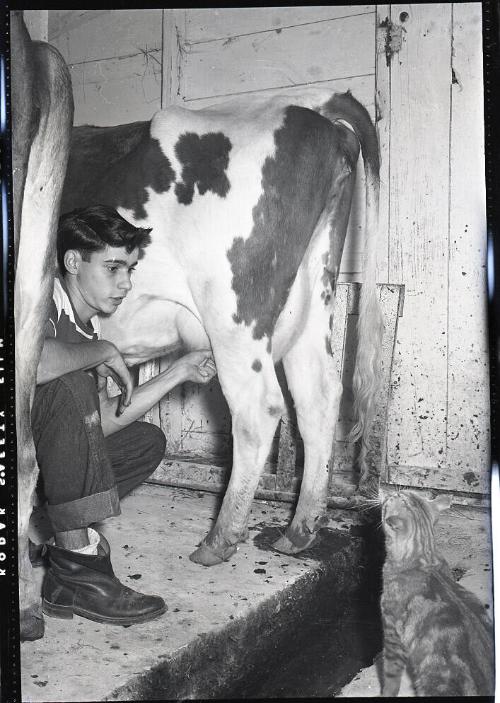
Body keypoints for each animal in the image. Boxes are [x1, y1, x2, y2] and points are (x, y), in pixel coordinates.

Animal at [60, 89, 384, 572]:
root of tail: (310, 110)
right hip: (312, 302)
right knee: (318, 397)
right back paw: (299, 531)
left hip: (234, 315)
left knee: (258, 408)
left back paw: (220, 538)